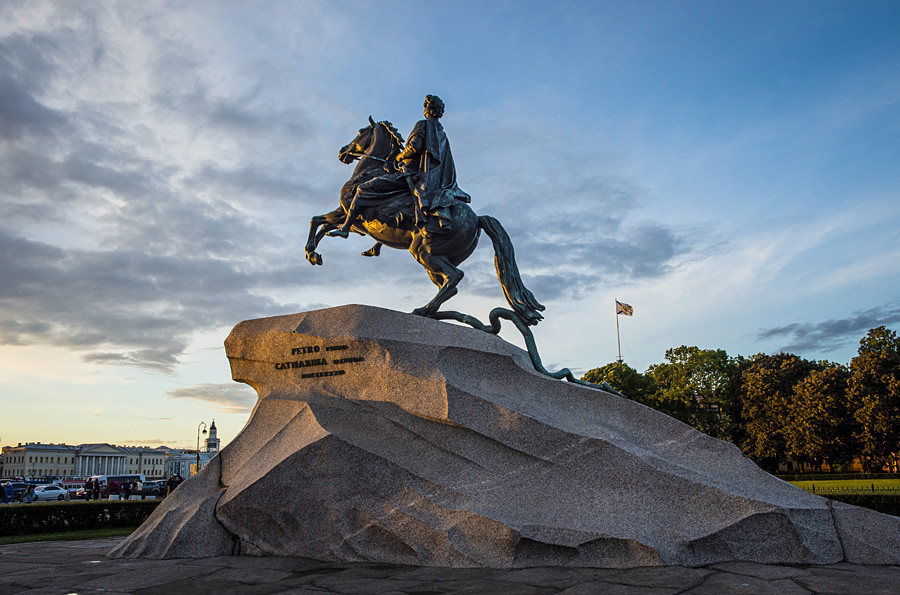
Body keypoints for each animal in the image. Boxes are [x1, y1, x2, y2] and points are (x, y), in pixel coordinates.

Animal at [304, 117, 540, 326]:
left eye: (361, 131)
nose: (343, 151)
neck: (371, 171)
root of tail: (476, 219)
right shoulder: (351, 219)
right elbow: (320, 222)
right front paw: (313, 254)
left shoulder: (354, 215)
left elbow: (324, 222)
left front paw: (314, 249)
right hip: (435, 257)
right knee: (449, 285)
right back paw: (432, 312)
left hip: (423, 251)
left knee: (454, 277)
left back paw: (423, 309)